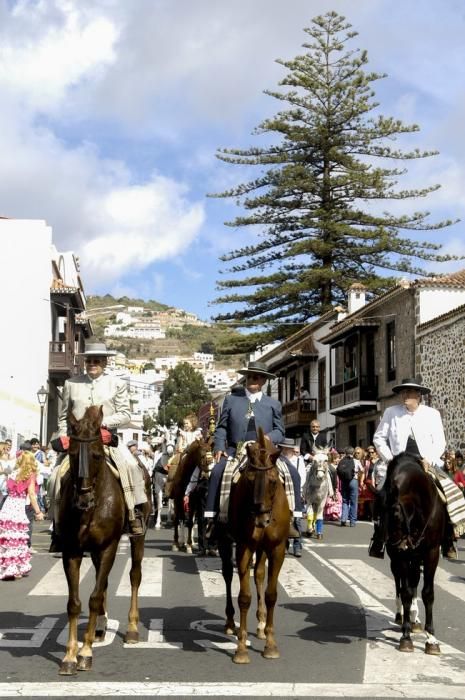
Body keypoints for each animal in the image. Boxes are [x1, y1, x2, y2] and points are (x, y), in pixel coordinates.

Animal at [56, 408, 150, 676]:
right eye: (72, 454)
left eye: (97, 455)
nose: (83, 500)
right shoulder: (72, 550)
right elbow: (75, 602)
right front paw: (70, 655)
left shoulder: (109, 546)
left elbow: (95, 597)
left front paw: (85, 653)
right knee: (104, 580)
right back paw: (99, 627)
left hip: (138, 537)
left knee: (134, 576)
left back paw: (131, 629)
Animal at [217, 430, 286, 664]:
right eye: (249, 479)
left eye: (273, 480)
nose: (261, 520)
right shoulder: (244, 547)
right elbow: (244, 597)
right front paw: (241, 649)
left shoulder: (277, 549)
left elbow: (271, 594)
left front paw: (271, 644)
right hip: (226, 542)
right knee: (228, 575)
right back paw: (231, 623)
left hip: (262, 548)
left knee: (259, 574)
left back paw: (262, 624)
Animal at [382, 452, 444, 652]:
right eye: (380, 512)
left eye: (396, 517)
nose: (392, 543)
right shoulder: (402, 557)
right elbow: (406, 592)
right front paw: (406, 636)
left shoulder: (432, 552)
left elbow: (427, 593)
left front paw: (431, 639)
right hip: (402, 559)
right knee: (400, 583)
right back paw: (401, 615)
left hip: (416, 556)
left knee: (415, 578)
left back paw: (415, 619)